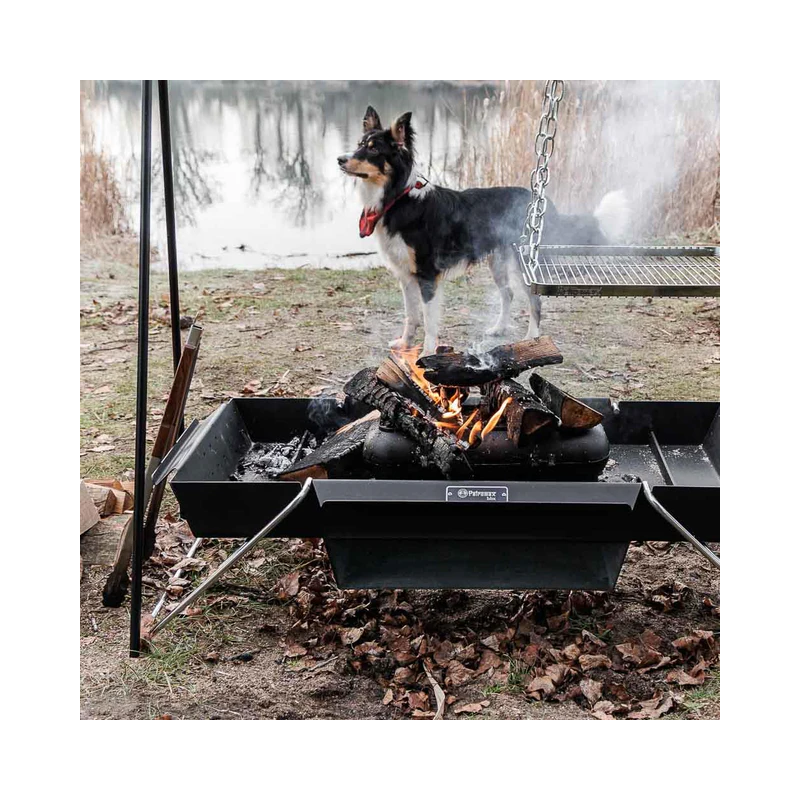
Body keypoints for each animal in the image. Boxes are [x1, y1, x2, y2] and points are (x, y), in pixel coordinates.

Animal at [338, 106, 629, 355]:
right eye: (360, 145)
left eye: (374, 150)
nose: (340, 159)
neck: (398, 197)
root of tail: (537, 200)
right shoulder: (406, 275)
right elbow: (411, 316)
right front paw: (404, 344)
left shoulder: (427, 275)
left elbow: (429, 320)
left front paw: (427, 352)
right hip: (497, 262)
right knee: (508, 294)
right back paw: (498, 328)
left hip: (524, 265)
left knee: (534, 301)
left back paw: (532, 338)